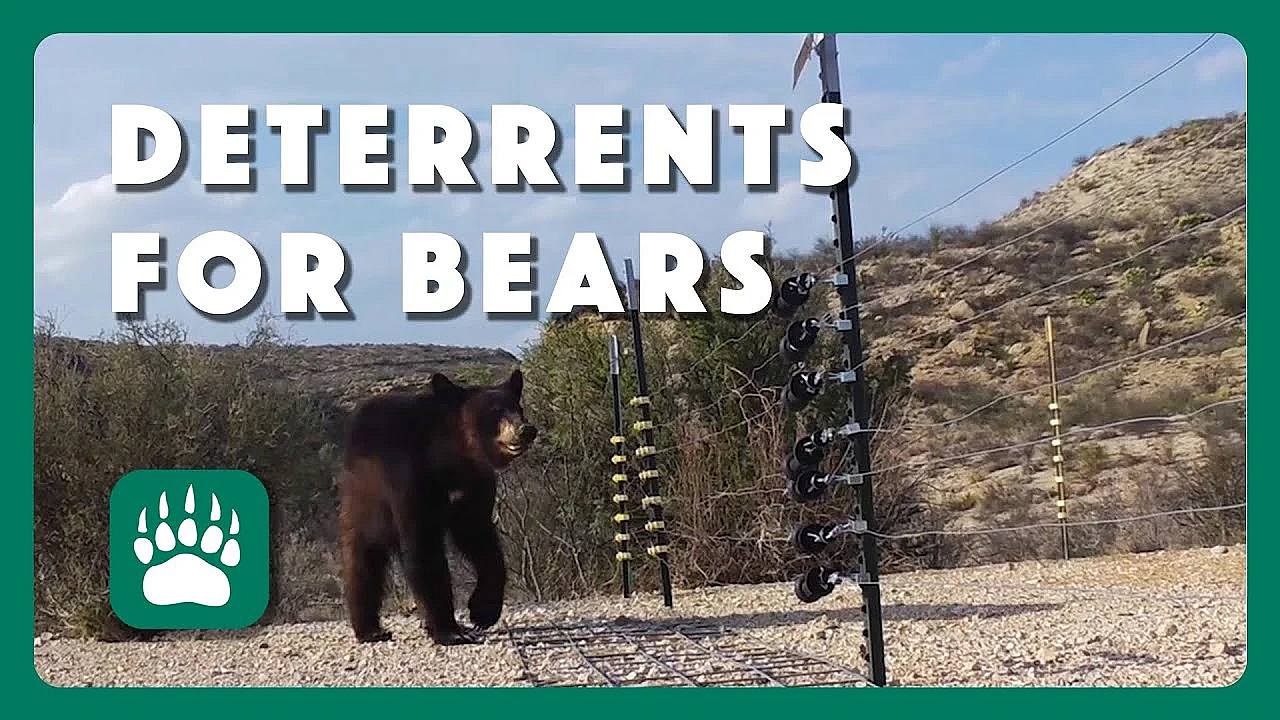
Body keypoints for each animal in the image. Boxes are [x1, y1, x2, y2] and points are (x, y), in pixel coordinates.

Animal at [337, 368, 537, 645]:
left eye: (518, 408)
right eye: (495, 411)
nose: (526, 429)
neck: (451, 455)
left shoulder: (474, 484)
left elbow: (479, 538)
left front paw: (483, 611)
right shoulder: (407, 479)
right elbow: (424, 547)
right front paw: (449, 630)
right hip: (364, 502)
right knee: (363, 562)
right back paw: (371, 630)